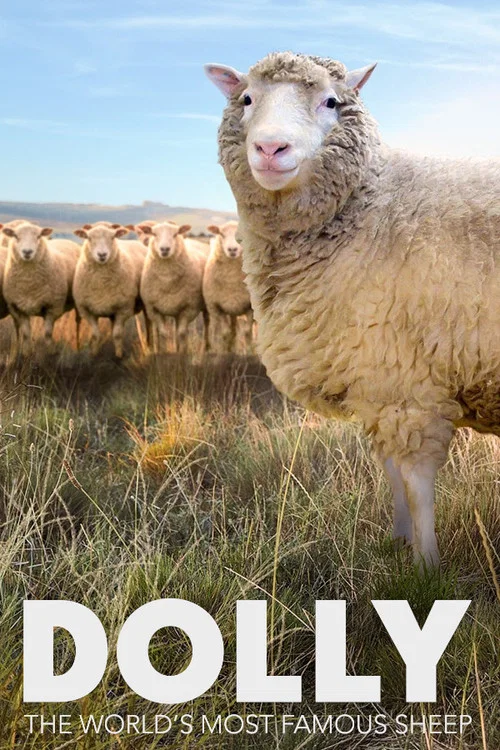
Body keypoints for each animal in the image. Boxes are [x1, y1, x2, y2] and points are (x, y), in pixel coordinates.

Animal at [1, 221, 80, 354]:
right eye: (15, 236)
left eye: (38, 236)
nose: (27, 252)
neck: (29, 284)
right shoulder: (18, 308)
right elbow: (26, 334)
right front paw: (26, 353)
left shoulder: (52, 307)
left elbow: (48, 334)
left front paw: (48, 352)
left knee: (78, 323)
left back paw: (79, 347)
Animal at [73, 225, 148, 358]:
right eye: (88, 237)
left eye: (113, 237)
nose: (102, 254)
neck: (102, 283)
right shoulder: (86, 311)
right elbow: (95, 335)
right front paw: (94, 355)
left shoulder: (123, 309)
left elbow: (117, 334)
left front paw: (118, 356)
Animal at [136, 221, 209, 354]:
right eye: (154, 234)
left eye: (175, 234)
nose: (165, 249)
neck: (167, 281)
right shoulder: (153, 309)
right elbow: (164, 334)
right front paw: (163, 353)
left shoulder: (189, 308)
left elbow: (181, 333)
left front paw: (182, 353)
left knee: (207, 322)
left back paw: (206, 347)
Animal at [203, 221, 253, 352]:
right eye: (221, 234)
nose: (232, 249)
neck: (232, 280)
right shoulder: (218, 307)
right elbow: (225, 333)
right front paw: (224, 352)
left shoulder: (250, 307)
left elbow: (247, 332)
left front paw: (251, 352)